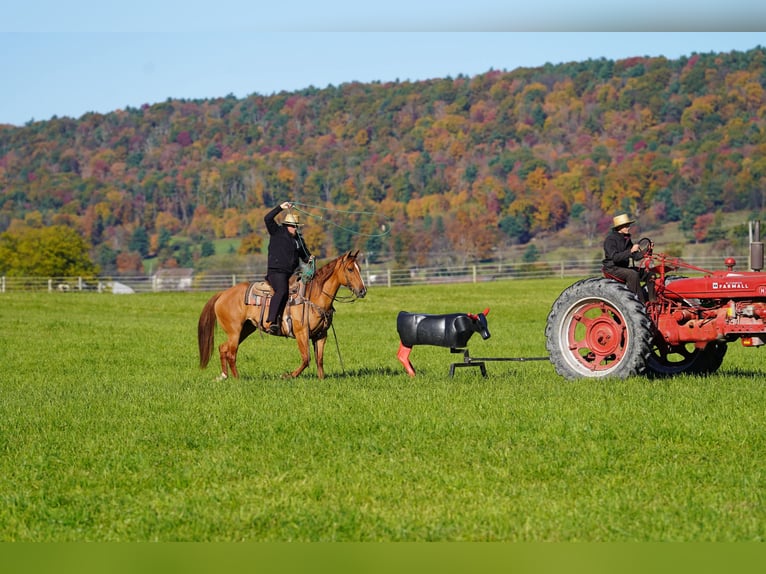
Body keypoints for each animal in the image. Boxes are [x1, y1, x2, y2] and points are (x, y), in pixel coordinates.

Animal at [198, 251, 367, 380]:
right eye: (350, 269)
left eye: (359, 268)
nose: (362, 291)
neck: (313, 297)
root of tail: (222, 294)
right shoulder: (301, 333)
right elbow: (306, 359)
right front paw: (287, 375)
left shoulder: (321, 335)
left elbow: (319, 360)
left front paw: (321, 380)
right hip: (235, 331)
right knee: (231, 353)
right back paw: (237, 379)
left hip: (245, 329)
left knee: (223, 348)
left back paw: (224, 376)